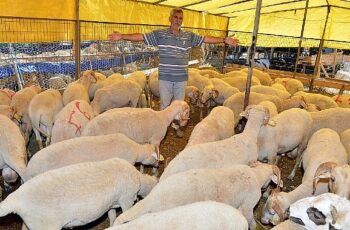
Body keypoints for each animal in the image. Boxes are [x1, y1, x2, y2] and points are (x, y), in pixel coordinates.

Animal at [0, 158, 157, 230]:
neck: (139, 180)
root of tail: (15, 199)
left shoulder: (112, 203)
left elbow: (112, 216)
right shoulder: (126, 200)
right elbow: (125, 214)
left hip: (32, 223)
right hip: (45, 226)